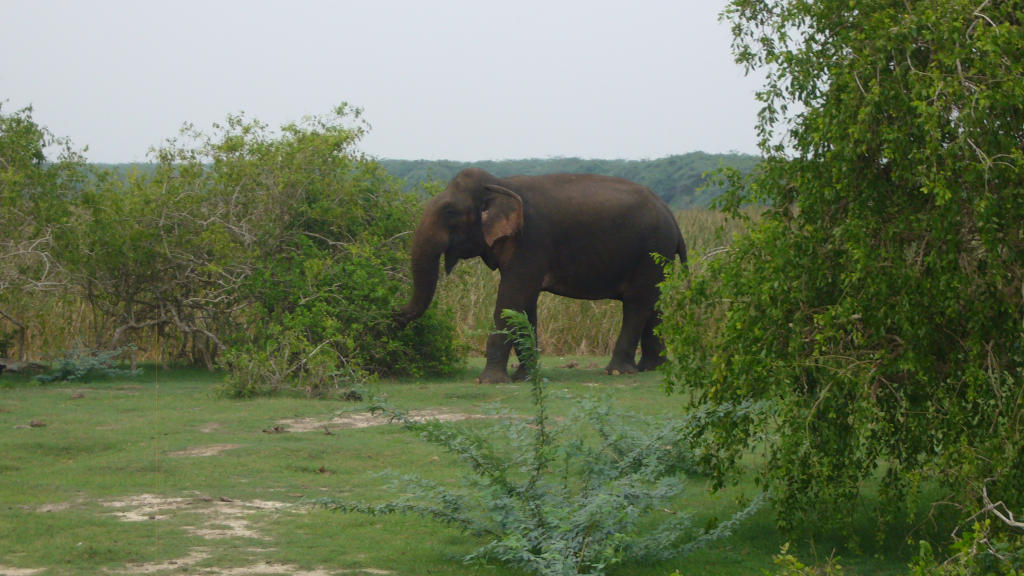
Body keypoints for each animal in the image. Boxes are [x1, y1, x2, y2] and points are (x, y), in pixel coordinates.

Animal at [395, 166, 684, 381]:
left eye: (450, 212)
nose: (395, 315)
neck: (500, 184)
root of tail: (672, 216)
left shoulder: (531, 241)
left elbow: (511, 298)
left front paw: (489, 381)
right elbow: (524, 305)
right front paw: (524, 377)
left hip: (652, 252)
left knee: (637, 304)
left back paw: (617, 371)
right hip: (658, 259)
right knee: (653, 303)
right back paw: (652, 368)